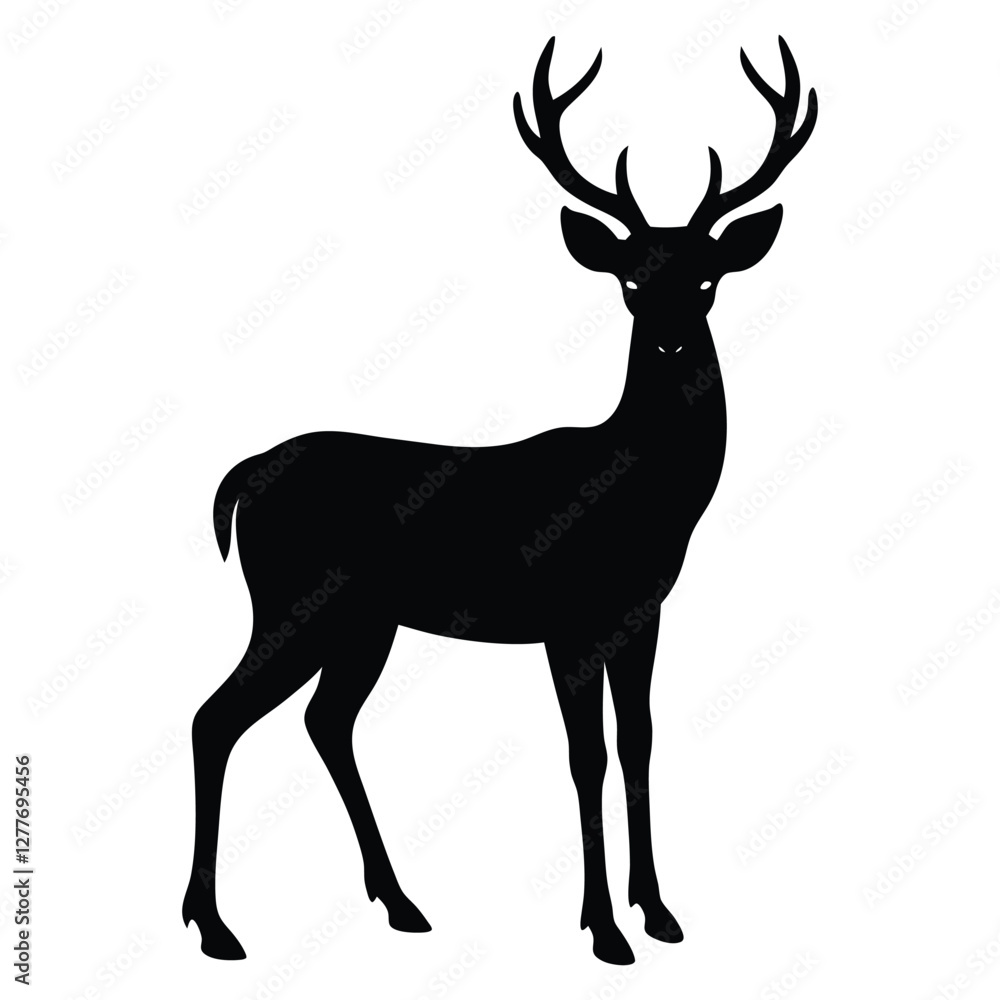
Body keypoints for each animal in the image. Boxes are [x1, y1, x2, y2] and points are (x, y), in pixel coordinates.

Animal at [182, 35, 816, 966]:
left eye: (706, 280)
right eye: (631, 281)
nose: (670, 340)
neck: (642, 495)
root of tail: (240, 479)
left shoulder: (643, 611)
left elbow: (638, 744)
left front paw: (659, 913)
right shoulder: (568, 615)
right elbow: (586, 756)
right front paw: (603, 929)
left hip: (364, 619)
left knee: (324, 722)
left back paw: (399, 901)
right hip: (294, 599)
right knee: (215, 717)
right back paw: (216, 926)